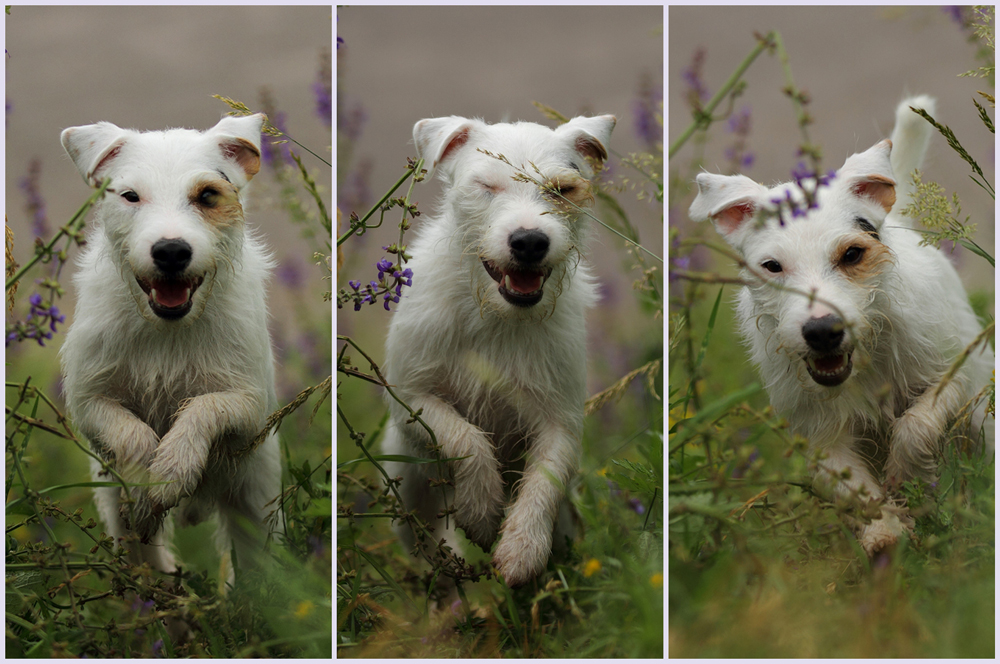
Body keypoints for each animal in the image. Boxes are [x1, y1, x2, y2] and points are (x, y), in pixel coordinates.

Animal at [60, 114, 282, 576]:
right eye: (130, 195)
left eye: (207, 195)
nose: (171, 251)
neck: (167, 329)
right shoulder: (89, 401)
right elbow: (133, 435)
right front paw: (150, 481)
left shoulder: (249, 405)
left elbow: (203, 408)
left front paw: (172, 469)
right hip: (116, 515)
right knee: (143, 556)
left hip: (255, 510)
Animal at [382, 114, 616, 588]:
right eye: (487, 186)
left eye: (562, 190)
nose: (529, 241)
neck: (496, 315)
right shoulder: (409, 397)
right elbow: (466, 438)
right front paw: (481, 511)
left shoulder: (561, 422)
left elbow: (545, 478)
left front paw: (522, 548)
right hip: (408, 490)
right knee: (426, 543)